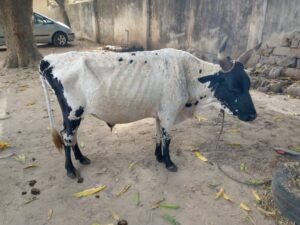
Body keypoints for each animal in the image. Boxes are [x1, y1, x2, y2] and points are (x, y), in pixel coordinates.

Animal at [38, 39, 256, 179]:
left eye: (248, 85)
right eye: (234, 87)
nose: (253, 115)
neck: (188, 74)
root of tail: (49, 60)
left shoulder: (160, 114)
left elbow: (158, 135)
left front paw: (158, 157)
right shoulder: (169, 114)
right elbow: (168, 138)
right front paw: (169, 163)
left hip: (75, 114)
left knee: (72, 136)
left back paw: (82, 159)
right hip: (73, 112)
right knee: (67, 136)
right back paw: (70, 169)